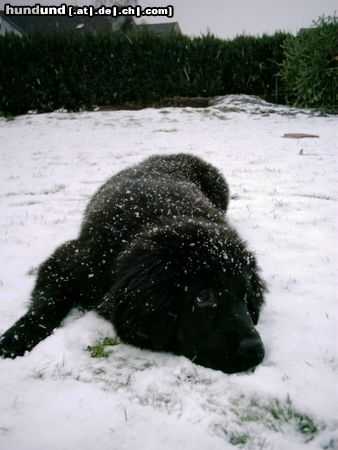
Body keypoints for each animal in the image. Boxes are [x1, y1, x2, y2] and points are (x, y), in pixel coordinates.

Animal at [0, 154, 266, 372]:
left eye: (244, 295)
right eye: (202, 297)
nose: (255, 349)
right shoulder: (68, 261)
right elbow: (46, 304)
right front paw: (14, 339)